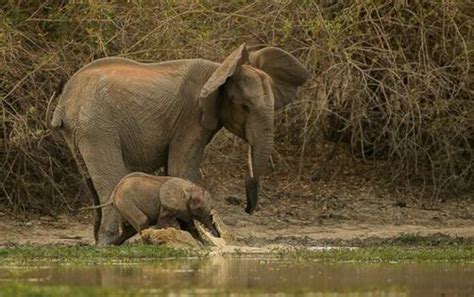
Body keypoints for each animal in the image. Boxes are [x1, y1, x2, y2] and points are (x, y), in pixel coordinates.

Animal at [88, 172, 219, 244]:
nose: (218, 236)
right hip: (126, 202)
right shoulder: (168, 205)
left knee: (129, 230)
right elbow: (162, 223)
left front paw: (204, 246)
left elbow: (188, 226)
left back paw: (112, 245)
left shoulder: (182, 208)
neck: (188, 187)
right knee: (141, 220)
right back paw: (148, 245)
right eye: (198, 209)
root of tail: (114, 192)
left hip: (123, 206)